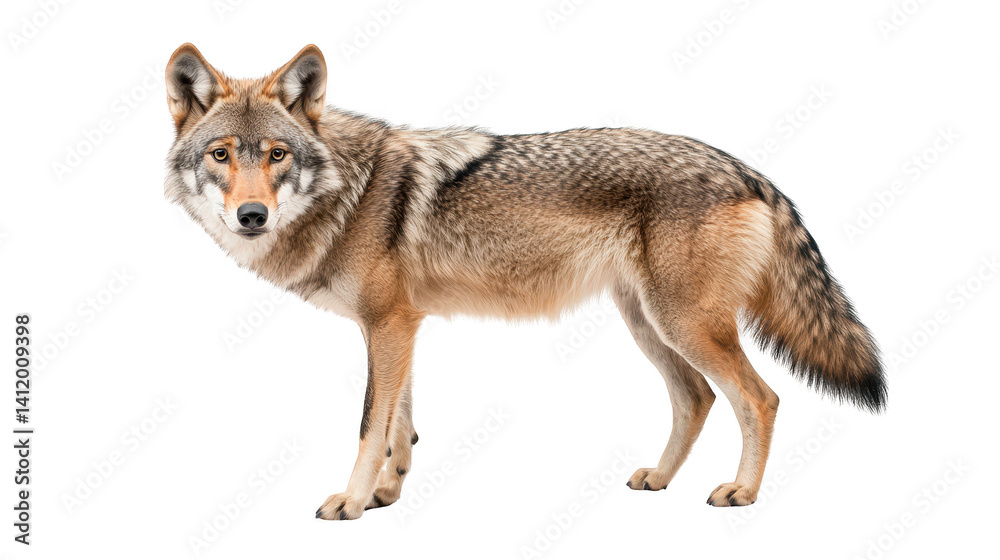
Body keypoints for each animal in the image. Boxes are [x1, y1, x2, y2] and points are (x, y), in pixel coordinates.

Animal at [164, 43, 885, 520]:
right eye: (221, 155)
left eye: (276, 155)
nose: (250, 215)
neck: (348, 189)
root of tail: (746, 169)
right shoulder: (400, 326)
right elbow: (402, 425)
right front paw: (388, 495)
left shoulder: (389, 326)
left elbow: (371, 423)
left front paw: (352, 501)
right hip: (649, 324)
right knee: (698, 398)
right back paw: (659, 479)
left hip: (683, 325)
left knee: (760, 399)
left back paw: (742, 494)